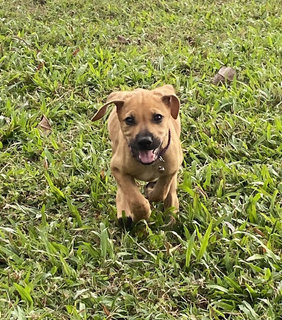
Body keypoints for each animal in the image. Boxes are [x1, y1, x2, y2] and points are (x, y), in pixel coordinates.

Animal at [92, 84, 183, 225]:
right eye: (129, 120)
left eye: (158, 117)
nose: (145, 141)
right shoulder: (118, 169)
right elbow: (136, 200)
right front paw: (140, 215)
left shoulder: (171, 169)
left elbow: (161, 191)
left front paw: (151, 192)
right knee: (122, 191)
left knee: (170, 191)